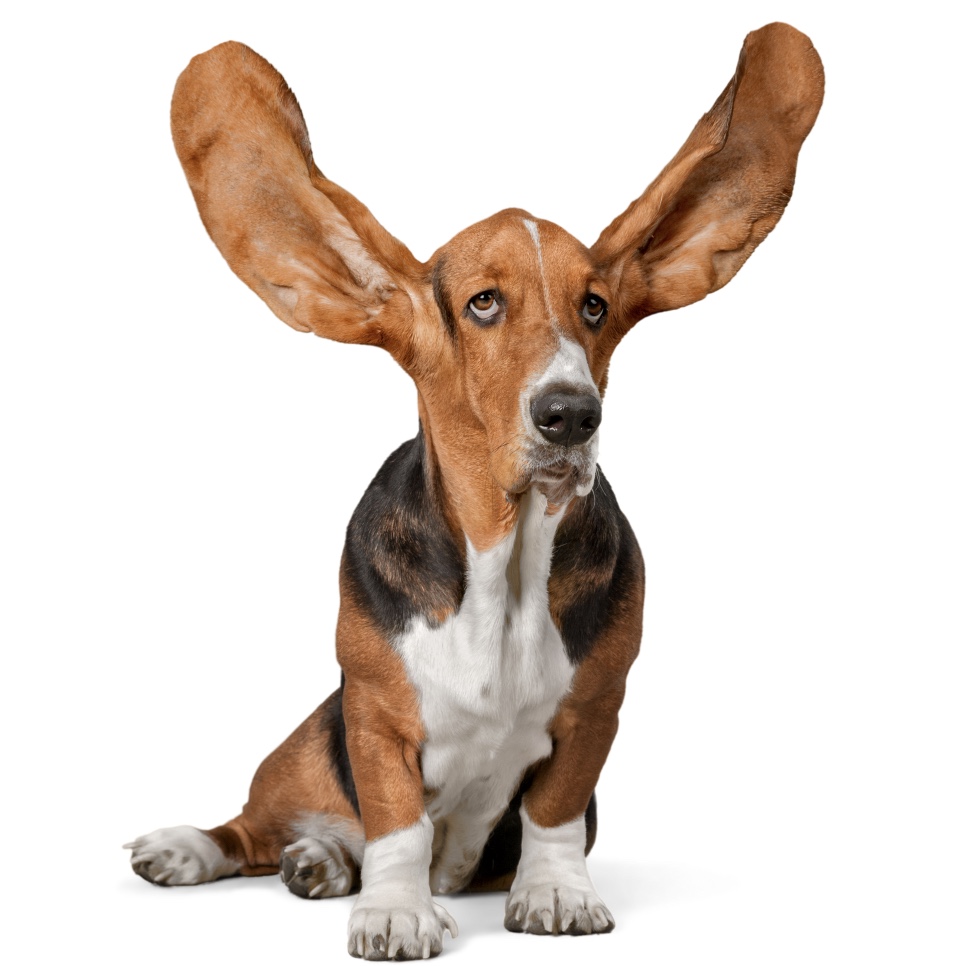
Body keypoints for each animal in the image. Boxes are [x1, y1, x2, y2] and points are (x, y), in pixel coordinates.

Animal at [126, 23, 823, 960]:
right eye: (483, 304)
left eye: (595, 307)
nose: (571, 415)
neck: (508, 555)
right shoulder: (375, 713)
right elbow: (394, 822)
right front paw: (394, 909)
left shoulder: (596, 709)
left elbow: (556, 812)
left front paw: (556, 893)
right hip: (305, 751)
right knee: (253, 828)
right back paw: (215, 851)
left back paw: (323, 864)